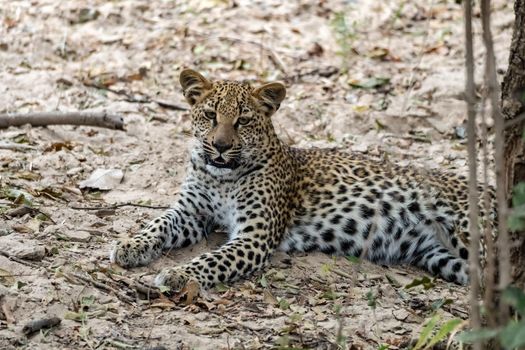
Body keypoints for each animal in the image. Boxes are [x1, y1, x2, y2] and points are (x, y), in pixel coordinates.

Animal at [109, 69, 492, 292]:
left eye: (243, 121)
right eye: (210, 115)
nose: (220, 146)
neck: (222, 178)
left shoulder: (254, 236)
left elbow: (211, 260)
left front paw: (178, 275)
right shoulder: (190, 212)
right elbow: (158, 223)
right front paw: (130, 245)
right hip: (445, 259)